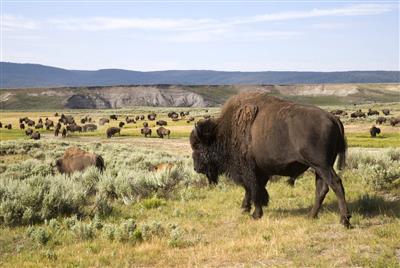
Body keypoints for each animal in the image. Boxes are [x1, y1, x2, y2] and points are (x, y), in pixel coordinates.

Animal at [191, 93, 350, 227]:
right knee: (321, 188)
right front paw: (245, 209)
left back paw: (344, 220)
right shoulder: (260, 170)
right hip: (319, 168)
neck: (225, 131)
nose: (196, 168)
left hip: (322, 165)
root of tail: (333, 118)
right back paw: (311, 216)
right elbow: (253, 190)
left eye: (198, 146)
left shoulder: (249, 170)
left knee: (336, 184)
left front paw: (255, 214)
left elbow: (253, 189)